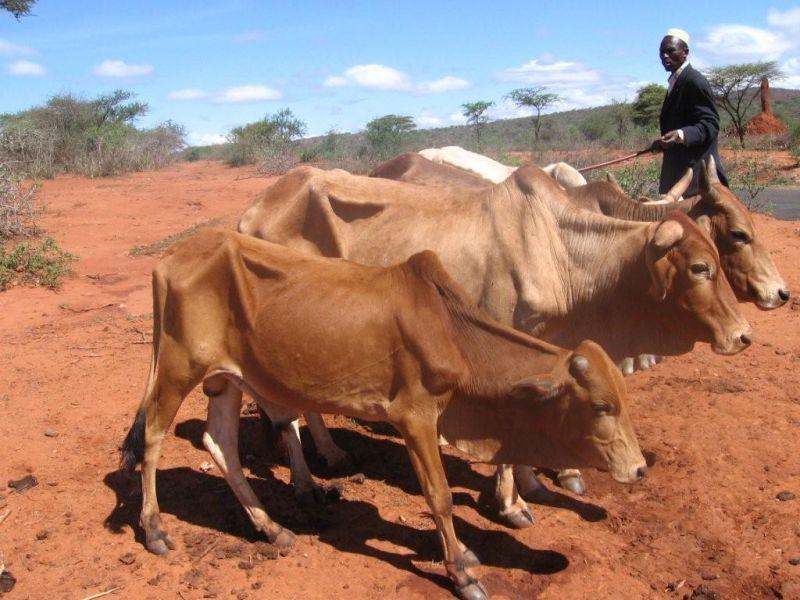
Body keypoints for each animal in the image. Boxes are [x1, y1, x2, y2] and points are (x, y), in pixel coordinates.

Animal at [119, 229, 644, 600]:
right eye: (601, 406)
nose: (639, 469)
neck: (453, 333)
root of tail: (169, 258)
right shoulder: (416, 419)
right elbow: (439, 498)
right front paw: (461, 573)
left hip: (226, 379)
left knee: (220, 443)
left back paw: (272, 528)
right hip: (177, 368)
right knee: (153, 438)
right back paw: (156, 531)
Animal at [236, 162, 752, 528]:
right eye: (701, 267)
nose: (742, 335)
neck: (559, 249)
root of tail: (252, 209)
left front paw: (532, 482)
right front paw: (512, 504)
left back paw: (331, 454)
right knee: (283, 410)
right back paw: (305, 481)